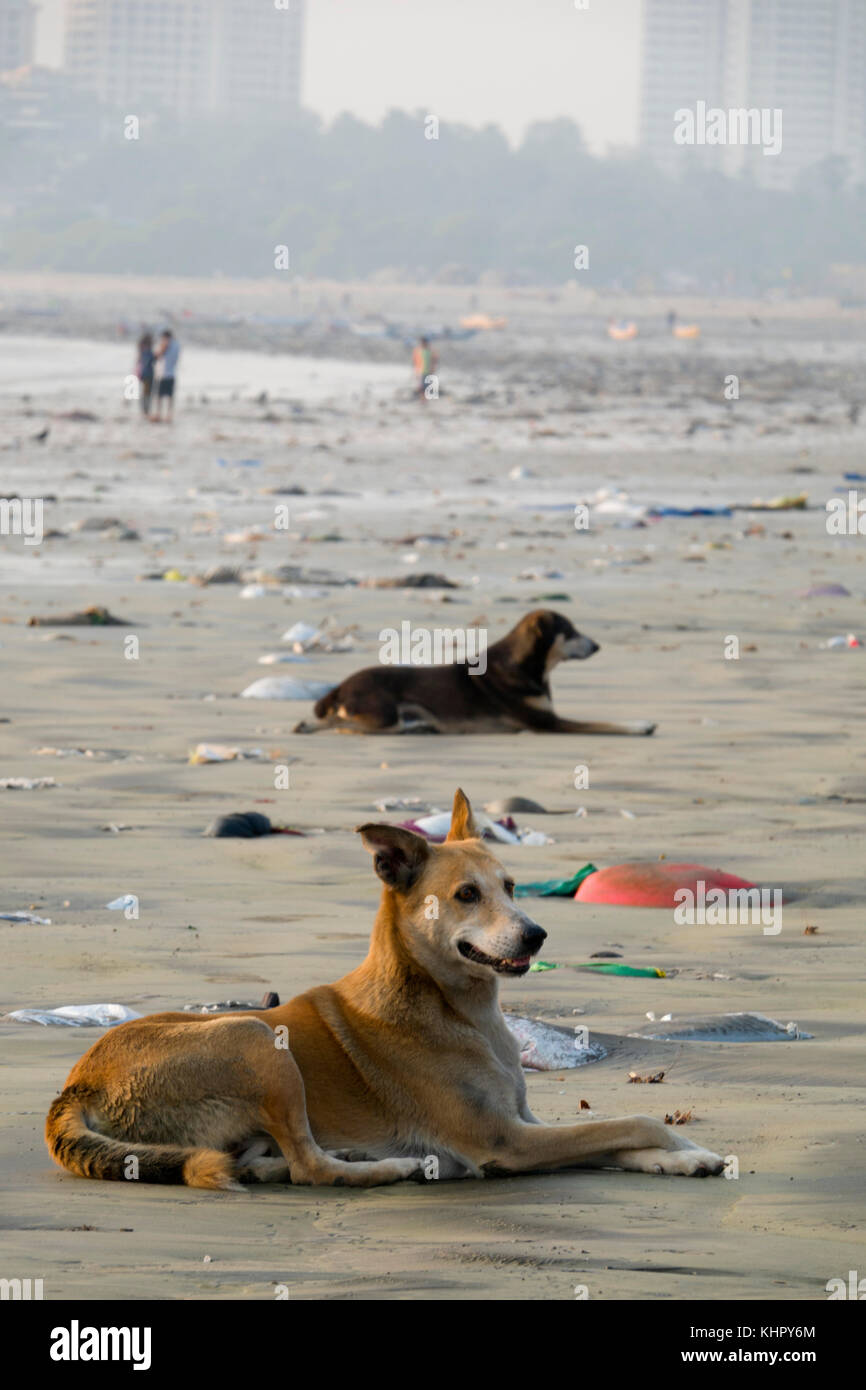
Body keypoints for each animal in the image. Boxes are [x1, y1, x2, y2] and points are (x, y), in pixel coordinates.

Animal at [45, 789, 722, 1189]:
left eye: (510, 885)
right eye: (466, 895)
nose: (537, 935)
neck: (456, 1008)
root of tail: (75, 1085)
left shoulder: (525, 1122)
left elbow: (616, 1138)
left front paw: (681, 1157)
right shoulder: (504, 1140)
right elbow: (632, 1120)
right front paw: (682, 1144)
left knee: (272, 1162)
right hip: (258, 1039)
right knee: (308, 1168)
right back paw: (394, 1166)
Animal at [294, 611, 653, 739]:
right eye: (571, 631)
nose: (597, 645)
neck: (526, 665)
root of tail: (339, 687)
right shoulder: (547, 723)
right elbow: (603, 724)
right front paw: (640, 725)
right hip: (383, 709)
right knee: (346, 723)